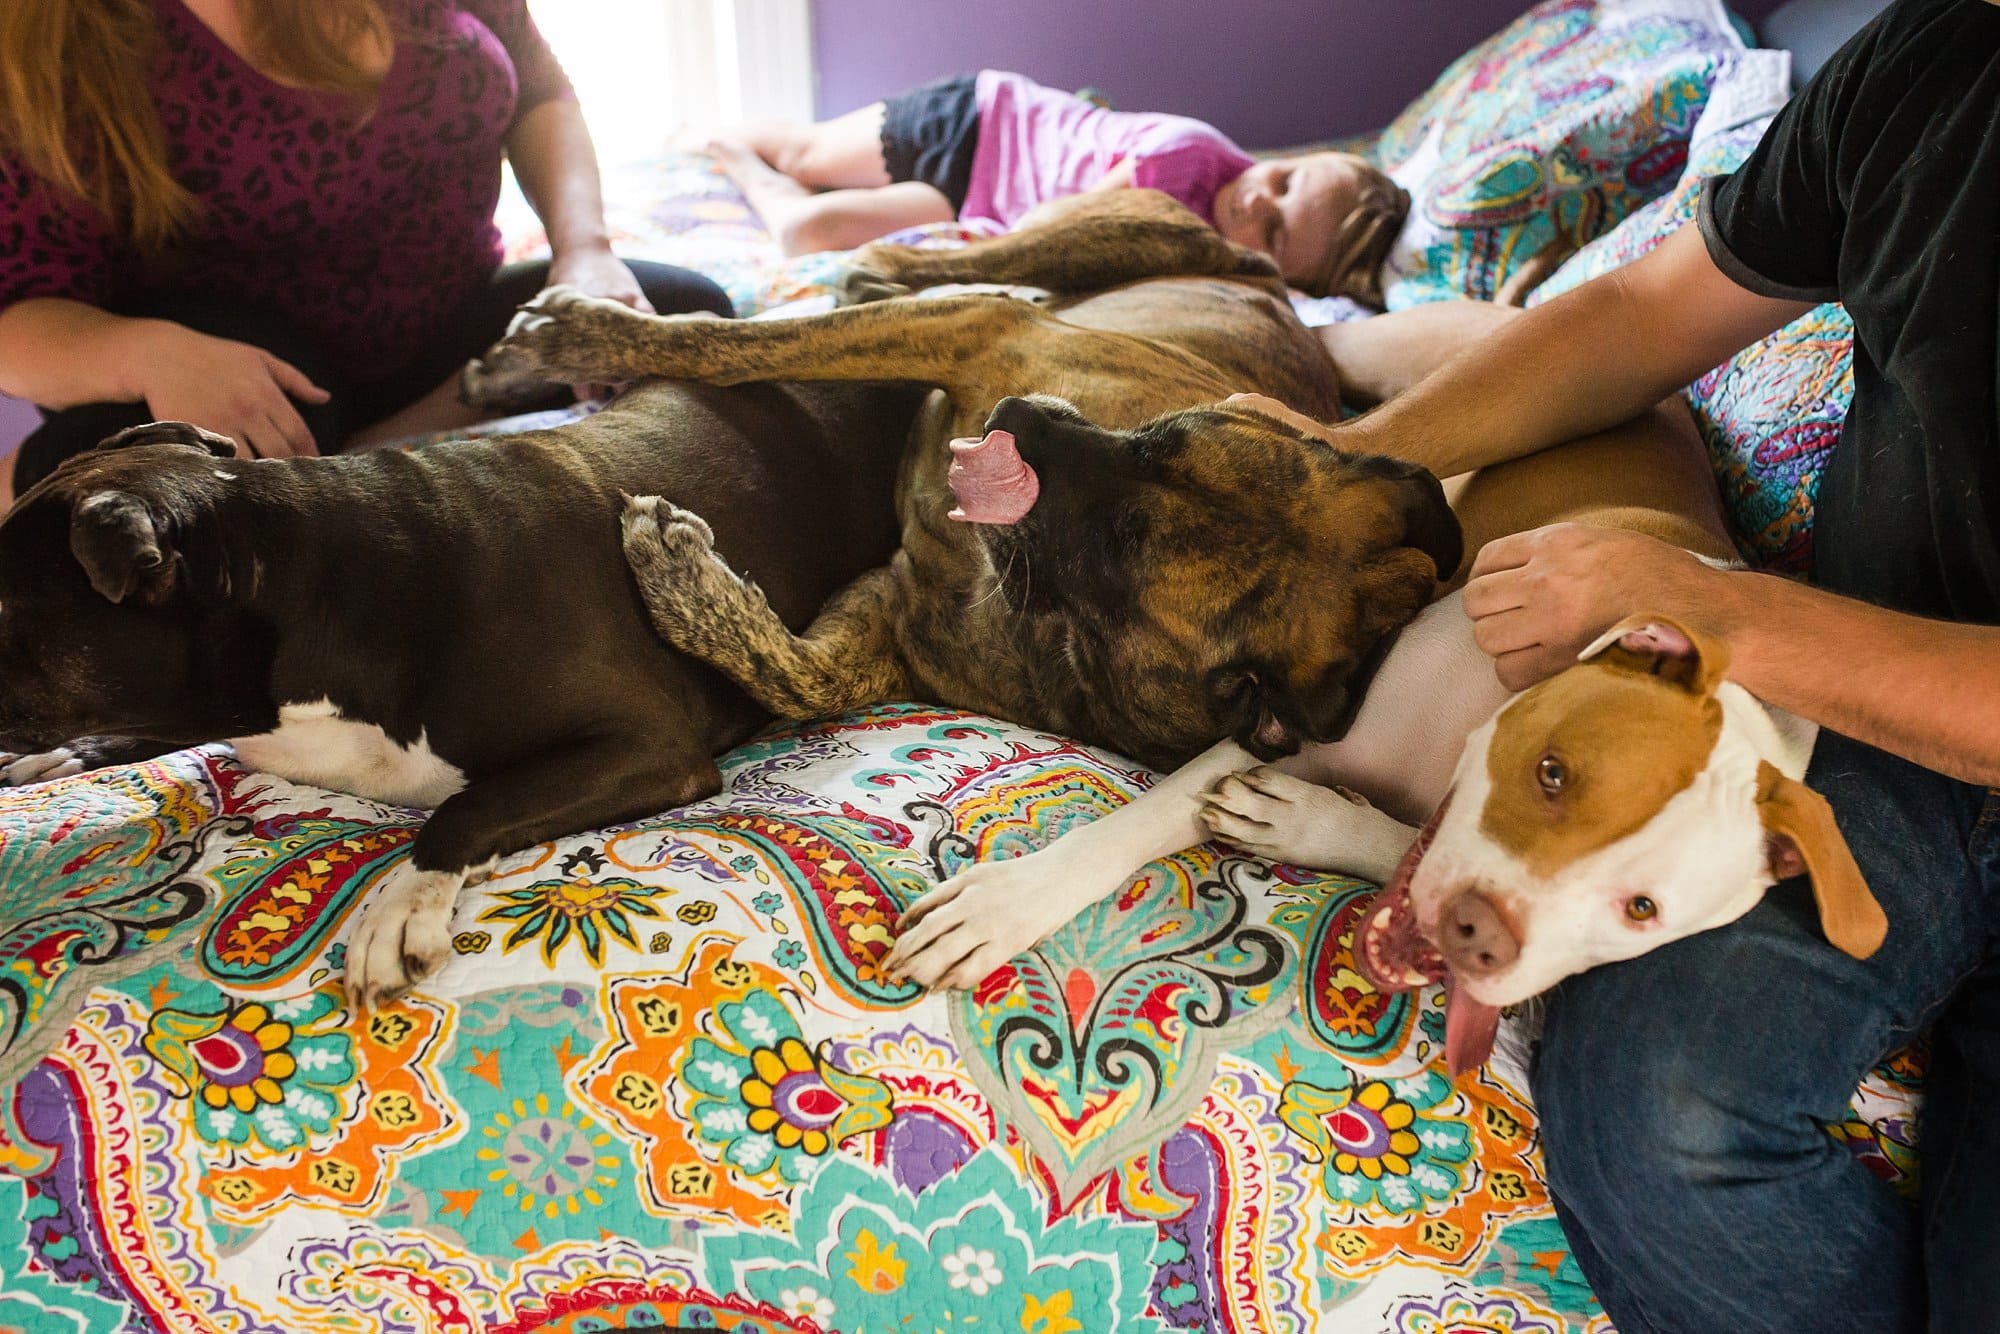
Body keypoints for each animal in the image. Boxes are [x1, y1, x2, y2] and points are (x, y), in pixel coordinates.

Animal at [468, 188, 1464, 772]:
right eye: (1164, 433)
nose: (1016, 417)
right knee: (929, 264)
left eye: (1121, 550)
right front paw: (583, 336)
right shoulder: (976, 336)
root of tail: (1272, 274)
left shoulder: (891, 616)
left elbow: (799, 679)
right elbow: (727, 343)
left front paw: (685, 580)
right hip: (1091, 242)